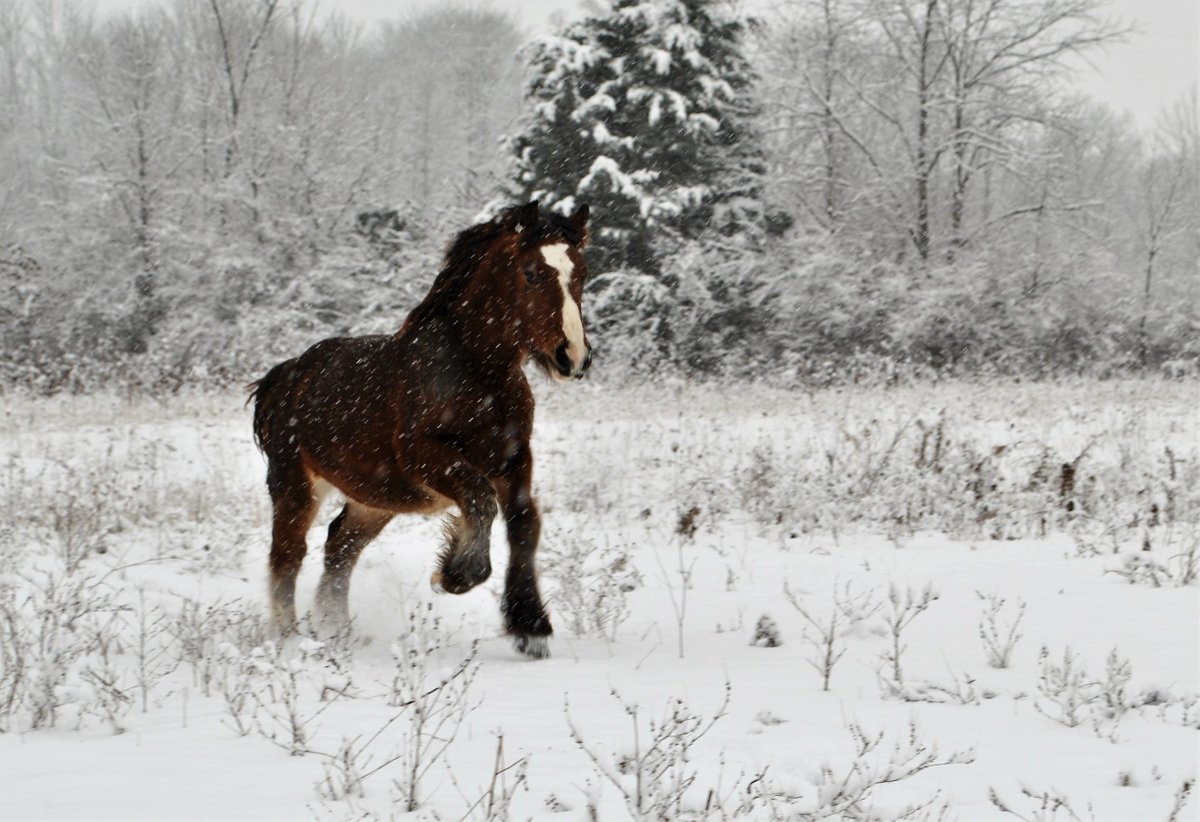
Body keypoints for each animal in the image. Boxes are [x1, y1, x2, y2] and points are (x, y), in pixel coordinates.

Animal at [250, 201, 592, 659]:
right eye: (532, 273)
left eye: (582, 273)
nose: (572, 356)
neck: (477, 375)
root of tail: (286, 374)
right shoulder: (424, 457)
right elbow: (480, 500)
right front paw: (456, 574)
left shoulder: (514, 456)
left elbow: (524, 523)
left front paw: (531, 627)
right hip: (295, 486)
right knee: (288, 555)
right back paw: (290, 643)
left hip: (375, 499)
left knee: (340, 547)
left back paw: (337, 632)